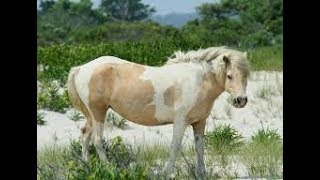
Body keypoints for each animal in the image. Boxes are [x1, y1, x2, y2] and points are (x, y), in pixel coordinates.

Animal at [65, 45, 250, 178]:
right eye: (229, 76)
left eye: (246, 75)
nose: (241, 100)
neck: (198, 81)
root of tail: (82, 68)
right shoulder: (180, 121)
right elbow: (175, 146)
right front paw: (169, 173)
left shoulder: (199, 122)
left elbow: (200, 148)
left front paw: (202, 174)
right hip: (98, 112)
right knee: (97, 140)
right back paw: (109, 169)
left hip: (91, 115)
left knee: (85, 136)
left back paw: (86, 167)